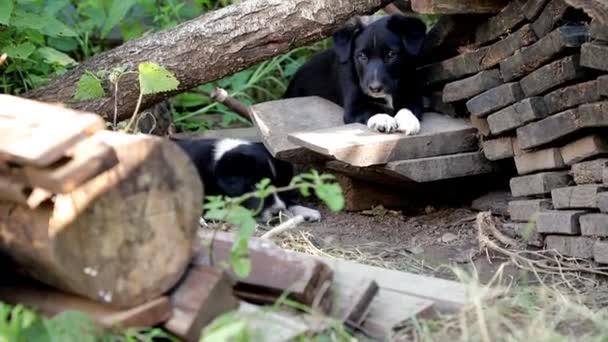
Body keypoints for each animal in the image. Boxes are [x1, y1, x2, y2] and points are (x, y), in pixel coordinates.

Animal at [284, 15, 428, 135]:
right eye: (362, 56)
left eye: (391, 54)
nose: (375, 88)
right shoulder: (353, 107)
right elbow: (371, 109)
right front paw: (383, 119)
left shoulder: (411, 92)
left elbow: (407, 107)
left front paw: (409, 121)